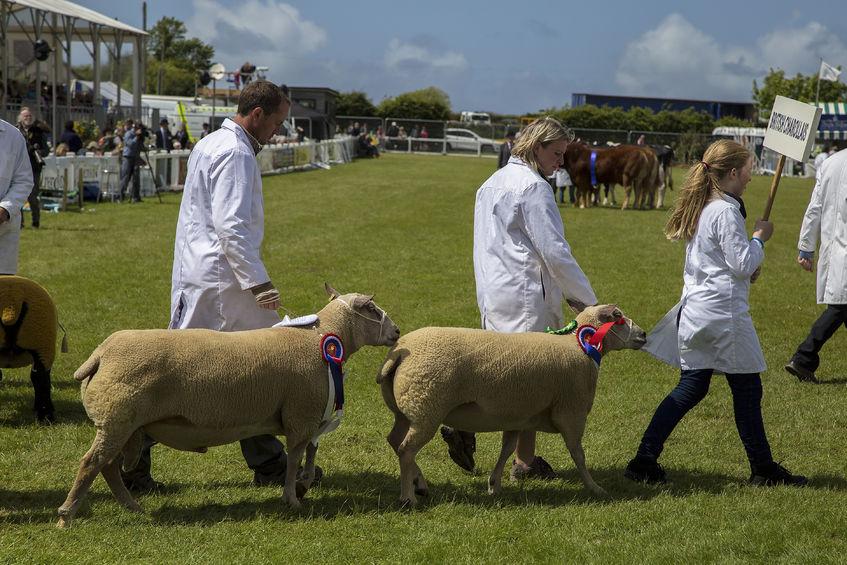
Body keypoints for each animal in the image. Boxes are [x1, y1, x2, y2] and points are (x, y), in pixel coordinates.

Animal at [0, 276, 66, 420]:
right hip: (42, 342)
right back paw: (45, 415)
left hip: (41, 342)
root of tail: (11, 303)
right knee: (40, 376)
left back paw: (45, 415)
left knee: (39, 377)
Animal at [57, 286, 400, 528]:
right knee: (91, 464)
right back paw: (66, 515)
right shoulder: (301, 414)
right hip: (117, 420)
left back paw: (133, 507)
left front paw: (303, 486)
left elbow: (310, 454)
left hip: (125, 424)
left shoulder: (308, 416)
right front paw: (292, 498)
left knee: (108, 467)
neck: (322, 338)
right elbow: (294, 461)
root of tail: (101, 353)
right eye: (372, 308)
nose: (397, 332)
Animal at [374, 304, 644, 506]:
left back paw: (418, 484)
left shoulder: (517, 416)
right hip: (427, 408)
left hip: (406, 410)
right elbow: (578, 454)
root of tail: (399, 352)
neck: (578, 346)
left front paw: (494, 485)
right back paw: (408, 497)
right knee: (406, 450)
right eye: (618, 317)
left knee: (395, 442)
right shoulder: (571, 412)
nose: (643, 335)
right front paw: (594, 487)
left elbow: (506, 450)